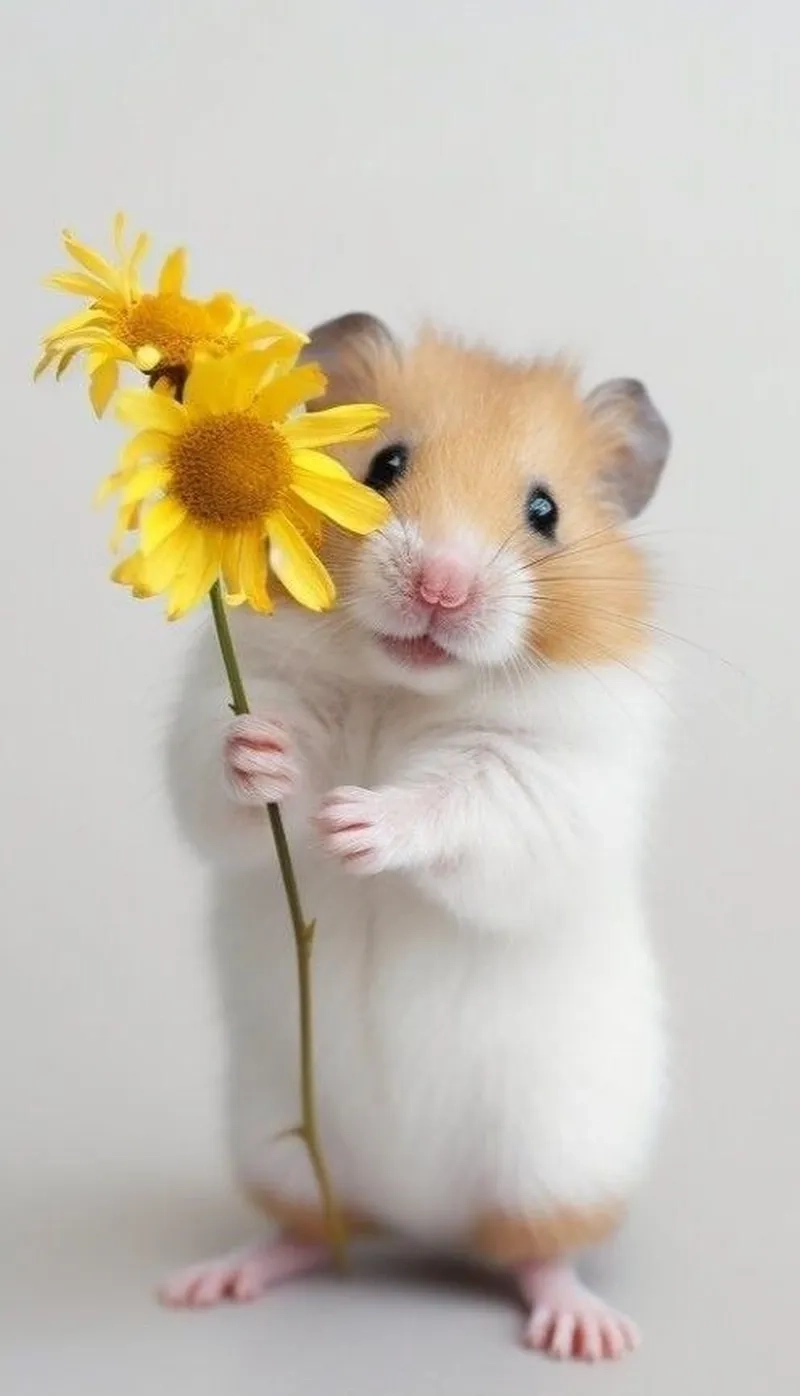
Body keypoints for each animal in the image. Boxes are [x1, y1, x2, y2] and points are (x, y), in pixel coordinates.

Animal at [160, 315, 671, 1363]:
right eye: (385, 463)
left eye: (545, 511)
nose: (442, 585)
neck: (405, 685)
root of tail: (420, 1217)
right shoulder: (231, 698)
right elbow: (216, 770)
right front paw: (267, 759)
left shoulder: (550, 777)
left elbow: (458, 803)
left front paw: (350, 820)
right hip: (271, 1138)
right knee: (308, 1229)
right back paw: (211, 1280)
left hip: (559, 1160)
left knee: (536, 1253)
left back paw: (585, 1331)